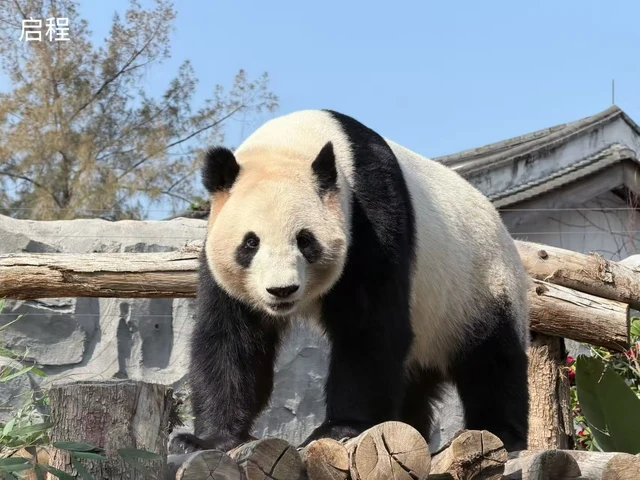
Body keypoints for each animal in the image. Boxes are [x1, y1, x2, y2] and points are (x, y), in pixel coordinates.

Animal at [170, 109, 530, 455]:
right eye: (250, 243)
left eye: (305, 240)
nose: (281, 290)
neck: (294, 142)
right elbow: (230, 337)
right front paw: (206, 439)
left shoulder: (370, 213)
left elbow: (369, 326)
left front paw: (339, 428)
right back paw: (405, 424)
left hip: (479, 285)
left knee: (492, 359)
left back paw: (501, 431)